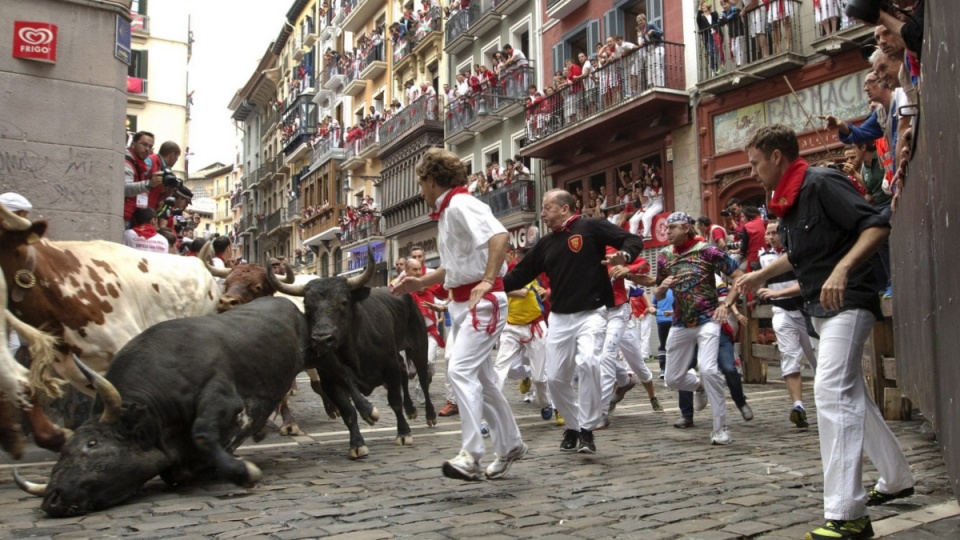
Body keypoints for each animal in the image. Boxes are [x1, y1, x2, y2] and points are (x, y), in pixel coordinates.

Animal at [15, 298, 308, 516]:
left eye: (92, 443)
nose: (51, 499)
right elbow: (177, 471)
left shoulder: (223, 399)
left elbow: (202, 434)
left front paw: (243, 472)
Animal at [268, 253, 436, 460]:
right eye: (307, 306)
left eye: (344, 302)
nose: (321, 339)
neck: (354, 350)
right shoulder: (330, 380)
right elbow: (348, 412)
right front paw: (357, 444)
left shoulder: (390, 368)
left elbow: (395, 401)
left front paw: (403, 433)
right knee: (405, 372)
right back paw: (411, 410)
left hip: (418, 346)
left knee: (422, 377)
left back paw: (430, 415)